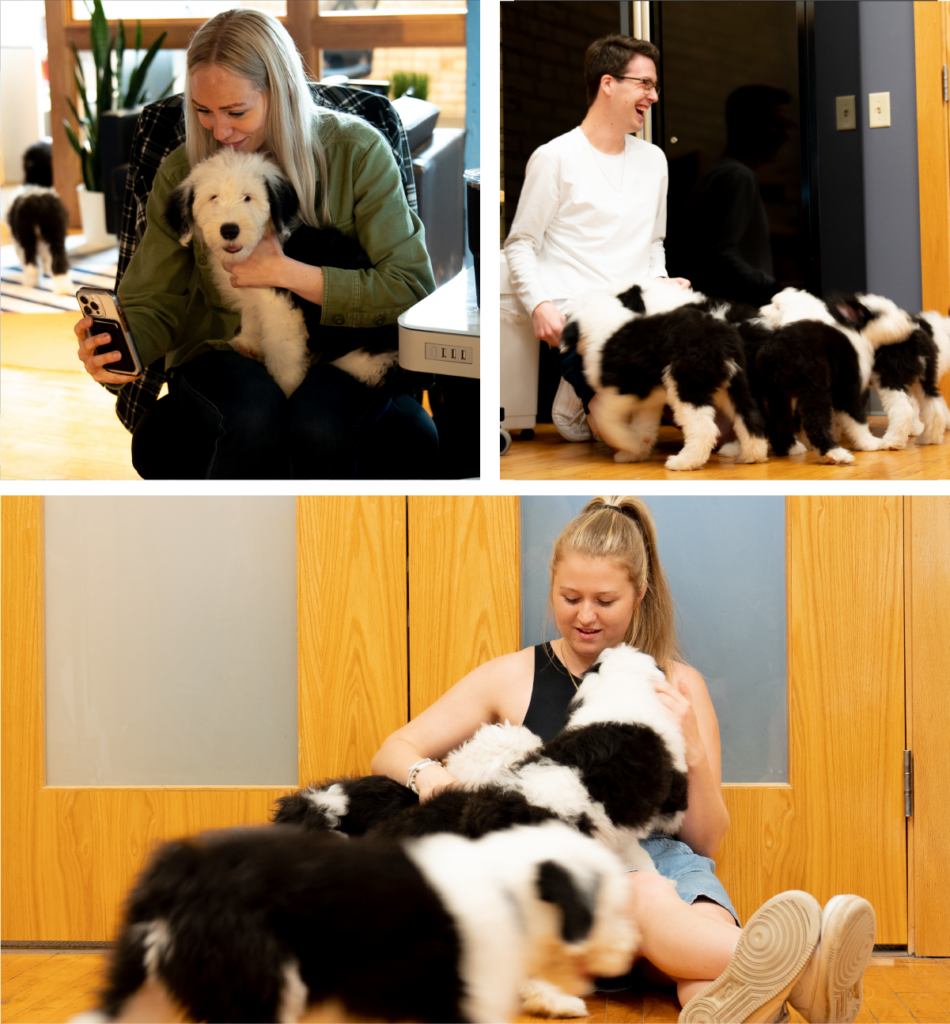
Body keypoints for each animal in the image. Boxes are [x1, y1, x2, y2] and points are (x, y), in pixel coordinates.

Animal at [68, 819, 638, 1024]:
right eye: (612, 906)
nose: (633, 947)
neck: (508, 883)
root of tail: (180, 872)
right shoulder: (466, 1000)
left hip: (145, 992)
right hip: (265, 987)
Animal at [164, 148, 399, 395]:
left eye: (248, 197)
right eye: (213, 198)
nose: (229, 230)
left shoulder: (281, 308)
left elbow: (283, 354)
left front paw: (287, 388)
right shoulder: (253, 297)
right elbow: (252, 318)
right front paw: (249, 343)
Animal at [560, 280, 769, 471]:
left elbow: (609, 418)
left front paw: (630, 445)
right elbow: (643, 425)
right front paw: (634, 451)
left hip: (689, 384)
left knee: (710, 426)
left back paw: (687, 461)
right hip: (735, 384)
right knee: (751, 415)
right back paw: (747, 453)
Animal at [749, 288, 921, 464]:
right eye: (884, 313)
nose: (908, 319)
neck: (859, 335)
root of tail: (775, 352)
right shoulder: (847, 389)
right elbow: (856, 419)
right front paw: (869, 443)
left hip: (778, 394)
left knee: (779, 423)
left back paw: (791, 449)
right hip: (814, 389)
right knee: (815, 423)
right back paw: (837, 454)